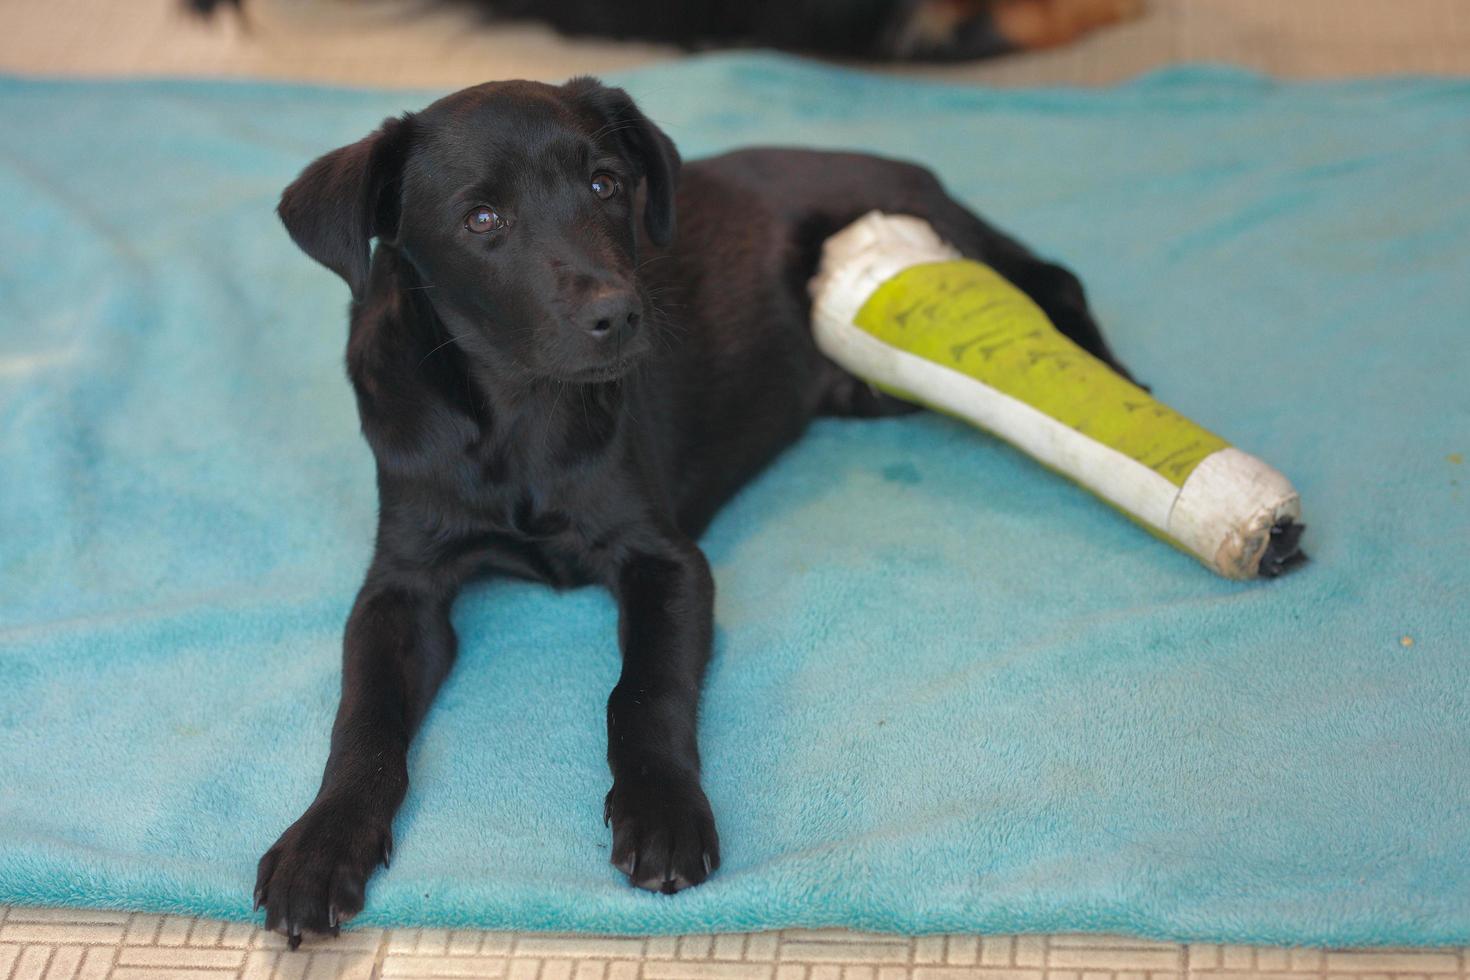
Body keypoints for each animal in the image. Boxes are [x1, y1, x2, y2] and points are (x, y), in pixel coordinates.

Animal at [258, 78, 1128, 952]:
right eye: (481, 219)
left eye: (606, 184)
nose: (618, 314)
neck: (517, 412)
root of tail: (905, 166)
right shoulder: (401, 583)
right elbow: (364, 715)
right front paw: (322, 842)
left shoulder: (666, 559)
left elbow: (645, 690)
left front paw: (663, 811)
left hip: (948, 243)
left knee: (1057, 281)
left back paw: (1114, 388)